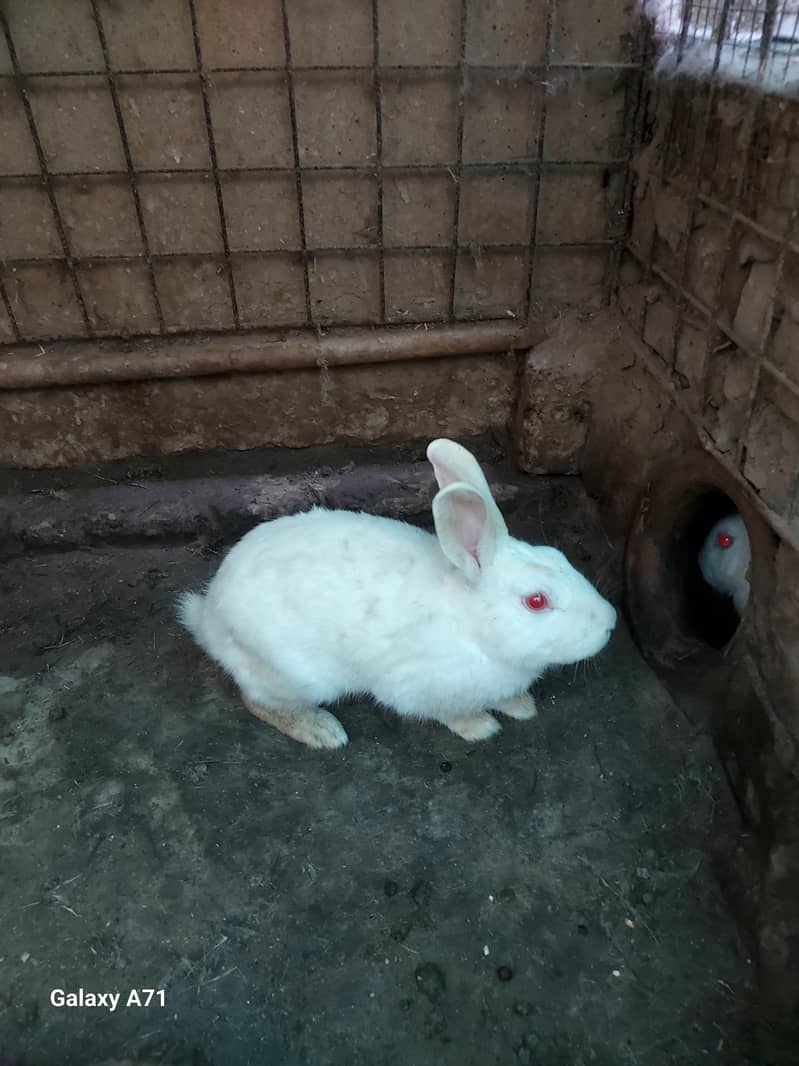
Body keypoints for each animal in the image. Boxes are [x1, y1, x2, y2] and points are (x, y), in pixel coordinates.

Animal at [177, 438, 617, 750]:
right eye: (536, 601)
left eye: (559, 556)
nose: (611, 623)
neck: (474, 625)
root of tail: (208, 615)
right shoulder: (418, 689)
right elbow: (449, 714)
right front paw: (481, 726)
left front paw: (521, 706)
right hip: (294, 675)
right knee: (259, 701)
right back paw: (322, 731)